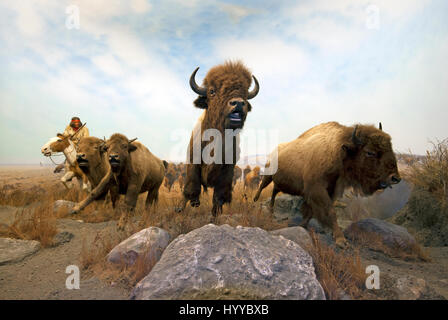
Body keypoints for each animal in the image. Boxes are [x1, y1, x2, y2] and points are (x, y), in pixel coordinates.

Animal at [180, 60, 260, 215]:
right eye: (212, 91)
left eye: (245, 92)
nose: (238, 103)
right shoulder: (193, 162)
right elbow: (191, 190)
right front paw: (187, 206)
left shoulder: (227, 171)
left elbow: (219, 198)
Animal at [254, 122, 400, 248]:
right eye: (370, 152)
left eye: (390, 148)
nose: (395, 178)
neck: (337, 149)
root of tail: (274, 151)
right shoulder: (317, 189)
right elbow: (330, 211)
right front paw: (341, 240)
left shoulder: (329, 191)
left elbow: (312, 211)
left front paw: (303, 225)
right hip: (268, 175)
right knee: (262, 187)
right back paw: (255, 201)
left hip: (278, 182)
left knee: (274, 191)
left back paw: (271, 211)